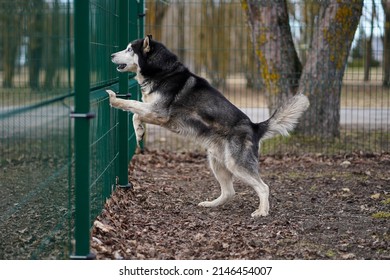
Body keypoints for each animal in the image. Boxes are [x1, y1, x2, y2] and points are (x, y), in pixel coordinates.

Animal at [106, 35, 308, 218]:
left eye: (129, 49)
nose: (111, 55)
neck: (163, 72)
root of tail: (255, 126)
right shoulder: (155, 114)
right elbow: (135, 114)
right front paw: (139, 132)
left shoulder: (158, 111)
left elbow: (131, 104)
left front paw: (113, 99)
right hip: (217, 162)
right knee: (229, 192)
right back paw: (211, 204)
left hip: (236, 164)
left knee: (263, 187)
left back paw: (262, 211)